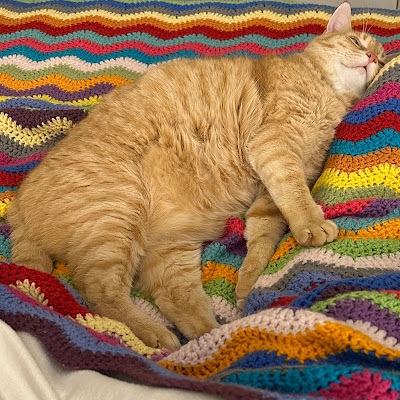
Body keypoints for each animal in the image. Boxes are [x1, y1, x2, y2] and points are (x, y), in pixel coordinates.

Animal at [7, 1, 388, 348]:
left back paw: (209, 338)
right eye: (357, 41)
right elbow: (296, 198)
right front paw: (313, 223)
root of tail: (18, 207)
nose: (373, 59)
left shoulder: (277, 185)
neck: (326, 95)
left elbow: (265, 233)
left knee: (173, 296)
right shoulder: (275, 147)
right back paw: (154, 334)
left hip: (171, 243)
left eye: (383, 62)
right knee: (99, 290)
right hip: (117, 208)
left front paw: (249, 280)